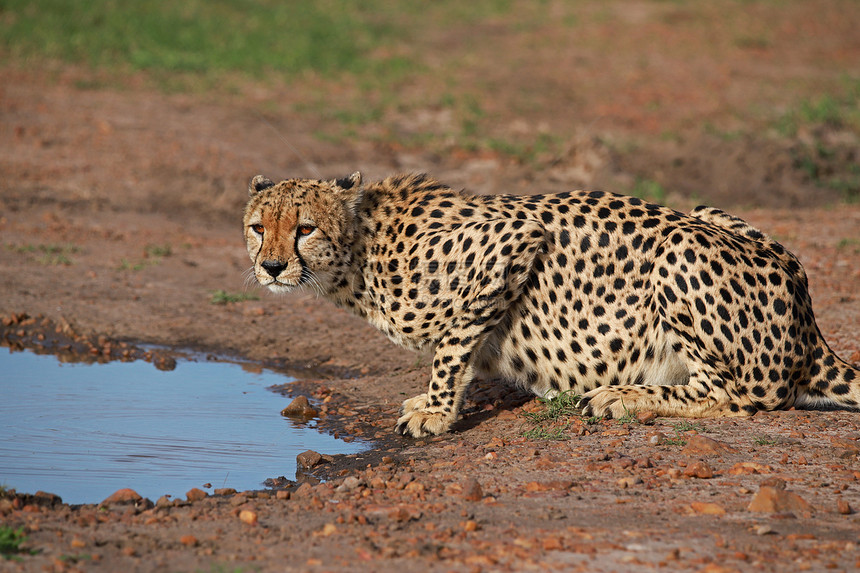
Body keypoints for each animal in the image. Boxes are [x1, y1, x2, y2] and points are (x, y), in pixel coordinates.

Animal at [242, 172, 860, 436]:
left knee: (745, 397)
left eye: (303, 229)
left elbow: (453, 344)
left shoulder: (512, 236)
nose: (270, 267)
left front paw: (437, 411)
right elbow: (463, 350)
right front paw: (436, 400)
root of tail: (810, 323)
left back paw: (623, 397)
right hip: (707, 212)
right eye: (257, 227)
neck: (361, 248)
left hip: (681, 246)